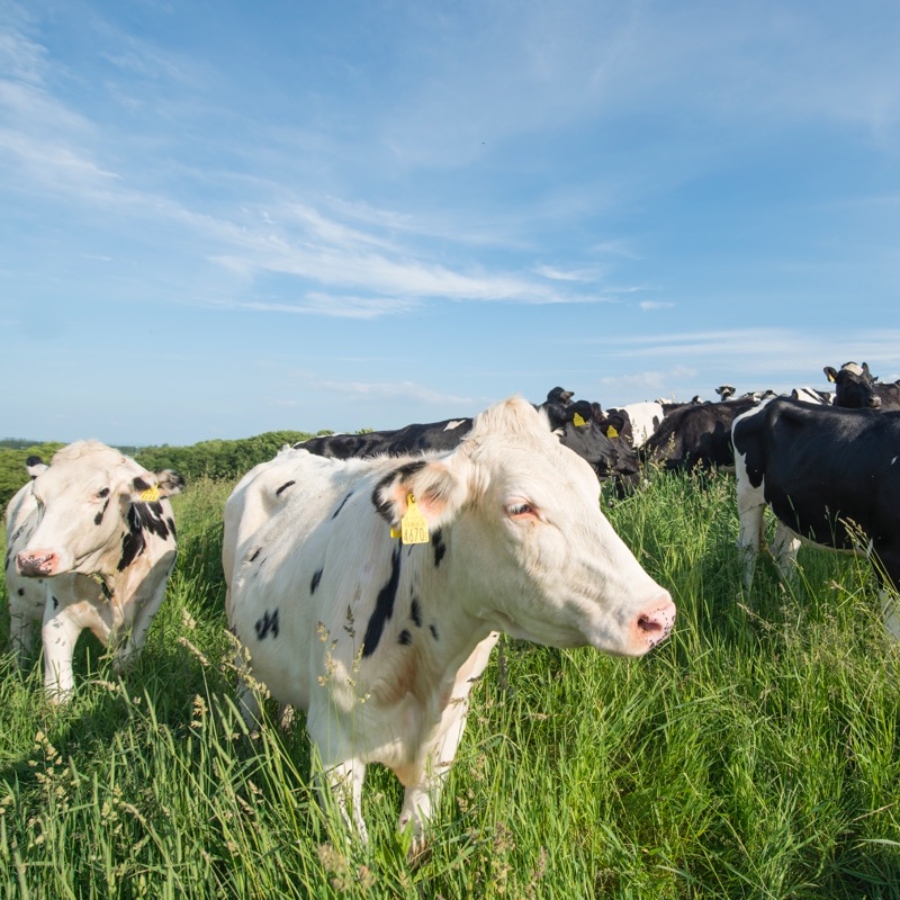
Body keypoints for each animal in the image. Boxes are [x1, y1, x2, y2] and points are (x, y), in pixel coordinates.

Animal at [4, 442, 185, 704]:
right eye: (39, 497)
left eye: (102, 492)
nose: (33, 561)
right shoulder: (58, 612)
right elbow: (59, 690)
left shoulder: (153, 598)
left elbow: (127, 660)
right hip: (17, 605)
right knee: (20, 643)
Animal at [223, 398, 676, 848]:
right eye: (520, 507)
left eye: (593, 491)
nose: (658, 615)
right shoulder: (334, 745)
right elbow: (356, 852)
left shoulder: (447, 736)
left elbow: (415, 838)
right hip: (241, 647)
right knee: (247, 701)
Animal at [732, 398, 900, 636]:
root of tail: (768, 402)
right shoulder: (885, 553)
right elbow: (894, 630)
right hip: (748, 496)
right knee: (748, 551)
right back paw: (747, 605)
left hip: (788, 506)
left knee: (784, 553)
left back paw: (793, 604)